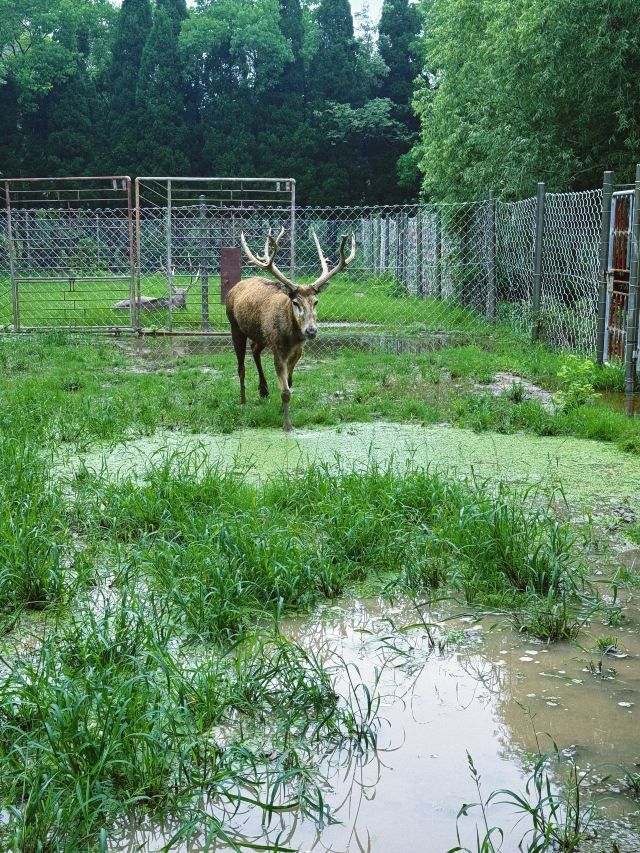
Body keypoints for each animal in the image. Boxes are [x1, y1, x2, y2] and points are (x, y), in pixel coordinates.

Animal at [226, 227, 356, 432]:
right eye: (295, 302)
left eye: (315, 301)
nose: (311, 331)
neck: (291, 337)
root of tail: (236, 286)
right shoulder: (278, 348)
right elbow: (285, 391)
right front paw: (287, 425)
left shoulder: (297, 350)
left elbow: (290, 382)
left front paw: (282, 410)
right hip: (235, 326)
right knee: (241, 366)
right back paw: (243, 401)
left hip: (261, 335)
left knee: (254, 349)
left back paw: (263, 390)